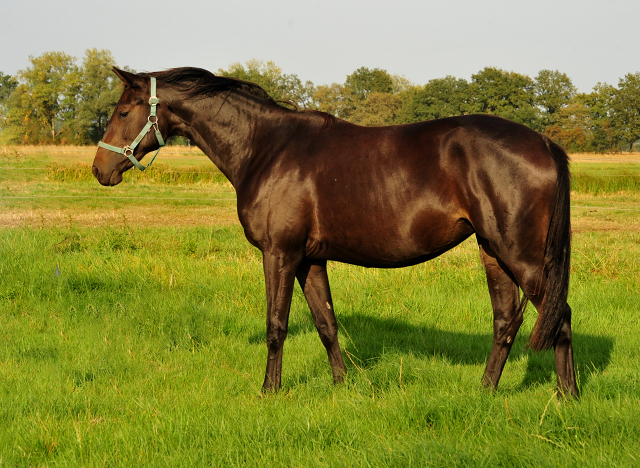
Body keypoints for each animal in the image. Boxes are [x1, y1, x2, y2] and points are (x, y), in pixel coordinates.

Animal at [92, 67, 576, 398]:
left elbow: (276, 325)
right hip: (492, 252)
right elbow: (326, 323)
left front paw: (269, 391)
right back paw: (485, 391)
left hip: (521, 256)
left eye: (122, 110)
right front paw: (341, 385)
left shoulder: (280, 253)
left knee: (560, 316)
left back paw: (566, 396)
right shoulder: (311, 258)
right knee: (505, 320)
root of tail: (544, 143)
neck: (266, 147)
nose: (99, 169)